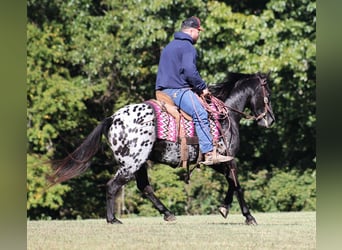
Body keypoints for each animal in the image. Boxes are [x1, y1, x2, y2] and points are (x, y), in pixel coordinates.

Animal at [47, 72, 276, 225]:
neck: (223, 116)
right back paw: (113, 219)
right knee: (112, 186)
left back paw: (167, 213)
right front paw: (246, 215)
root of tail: (112, 119)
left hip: (139, 164)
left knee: (144, 187)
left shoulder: (217, 162)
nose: (270, 120)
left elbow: (232, 183)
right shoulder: (223, 159)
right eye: (268, 92)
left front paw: (225, 208)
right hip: (131, 164)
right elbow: (236, 184)